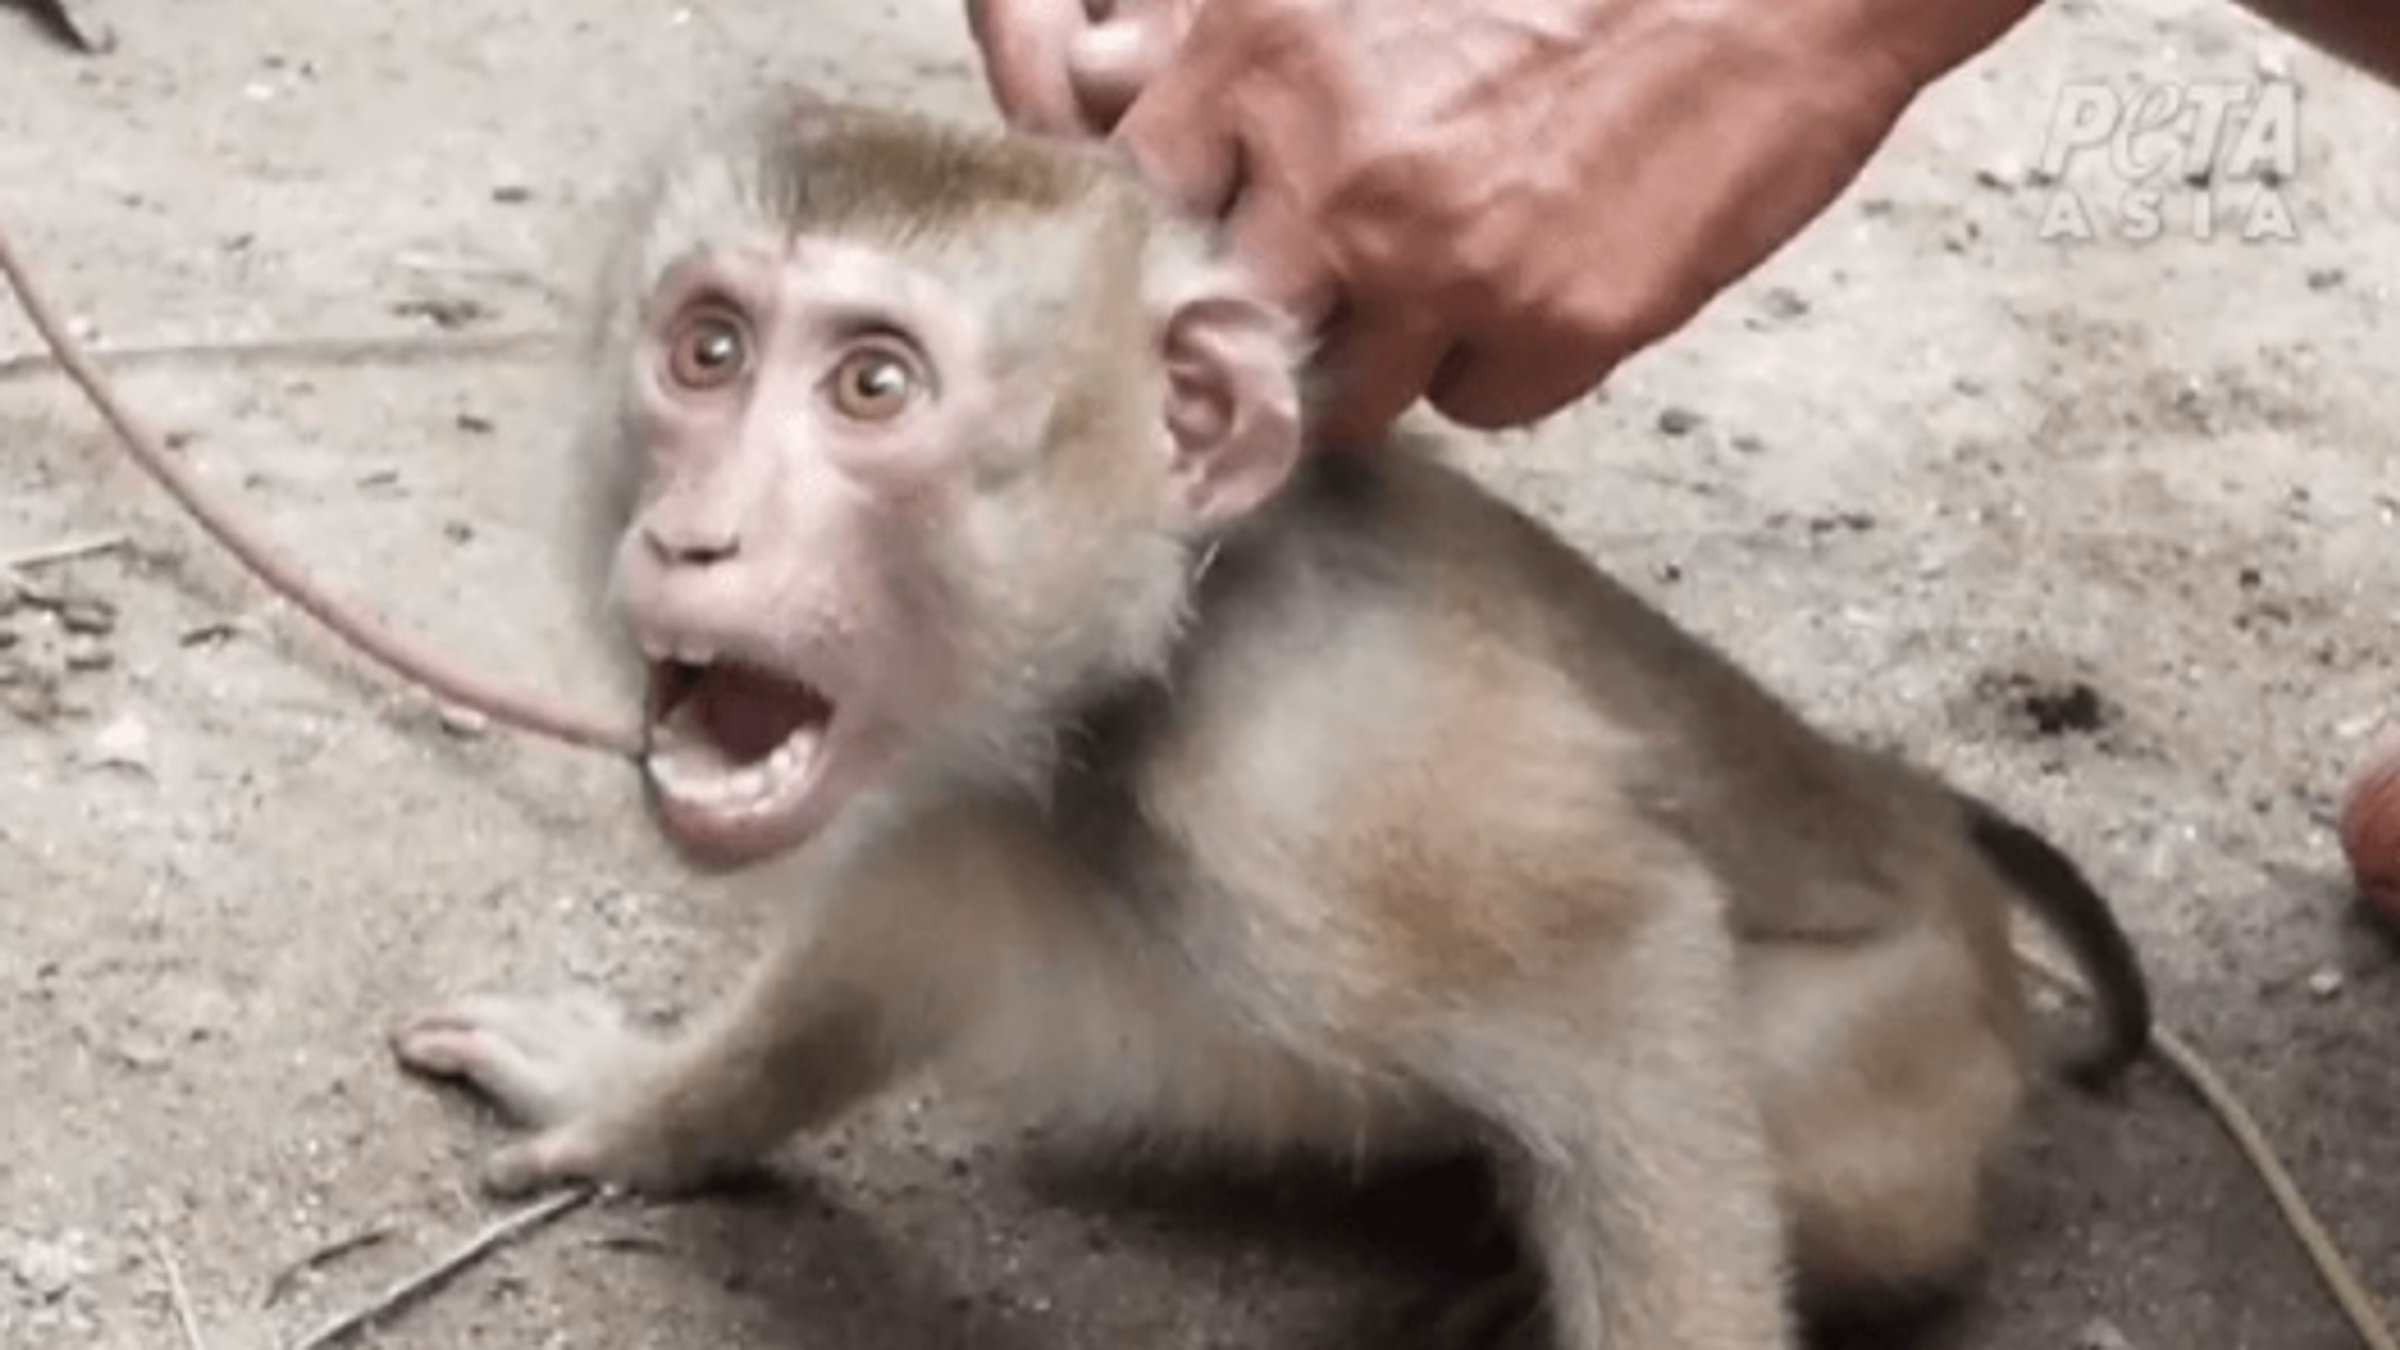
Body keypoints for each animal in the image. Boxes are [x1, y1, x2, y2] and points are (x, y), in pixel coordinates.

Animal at [388, 93, 2151, 1349]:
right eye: (708, 349)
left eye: (873, 387)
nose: (698, 537)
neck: (1130, 671)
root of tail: (1914, 807)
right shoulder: (961, 791)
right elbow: (868, 968)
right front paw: (641, 1102)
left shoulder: (1317, 791)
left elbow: (1632, 966)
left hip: (1903, 1068)